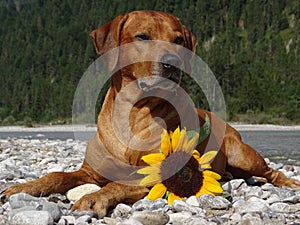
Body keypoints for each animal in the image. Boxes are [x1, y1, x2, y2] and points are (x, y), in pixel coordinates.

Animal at [2, 10, 300, 216]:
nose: (173, 63)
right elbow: (57, 176)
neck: (134, 113)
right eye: (142, 37)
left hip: (241, 153)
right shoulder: (90, 172)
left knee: (271, 171)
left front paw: (94, 198)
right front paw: (24, 187)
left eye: (178, 40)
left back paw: (290, 183)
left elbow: (119, 185)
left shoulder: (153, 176)